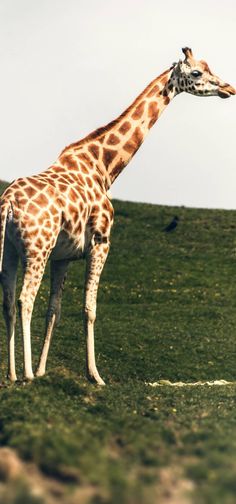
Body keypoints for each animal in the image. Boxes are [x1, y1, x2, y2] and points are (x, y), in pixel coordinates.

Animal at [0, 48, 235, 386]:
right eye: (196, 74)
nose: (228, 88)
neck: (104, 168)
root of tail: (8, 203)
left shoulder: (63, 256)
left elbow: (54, 310)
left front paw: (45, 371)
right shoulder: (101, 242)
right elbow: (89, 308)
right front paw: (94, 375)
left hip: (9, 250)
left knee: (7, 300)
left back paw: (13, 373)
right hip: (37, 248)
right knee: (24, 299)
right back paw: (27, 374)